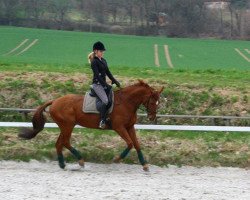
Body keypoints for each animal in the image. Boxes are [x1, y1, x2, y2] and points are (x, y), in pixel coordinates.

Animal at [19, 80, 164, 171]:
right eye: (152, 102)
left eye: (158, 103)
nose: (152, 117)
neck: (126, 102)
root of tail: (55, 101)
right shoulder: (119, 128)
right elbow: (130, 144)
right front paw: (117, 159)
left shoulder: (129, 127)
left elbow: (137, 144)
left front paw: (145, 165)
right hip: (68, 125)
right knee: (64, 142)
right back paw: (80, 161)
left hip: (65, 126)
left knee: (59, 143)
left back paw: (63, 164)